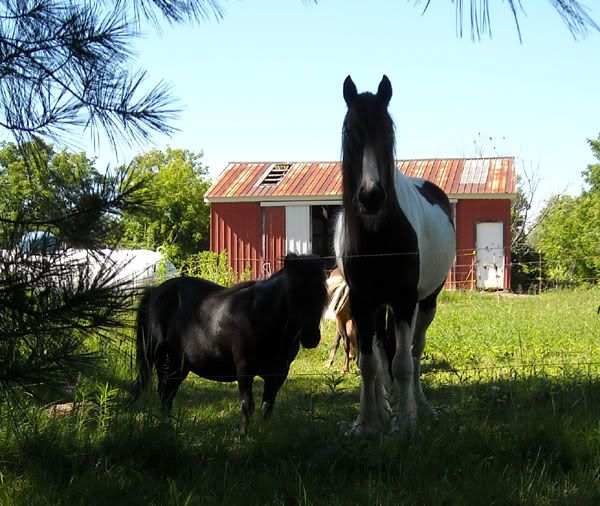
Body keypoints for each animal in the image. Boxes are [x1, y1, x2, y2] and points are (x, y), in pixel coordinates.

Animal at [129, 253, 328, 434]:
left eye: (322, 293)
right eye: (293, 293)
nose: (311, 337)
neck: (261, 315)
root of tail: (155, 292)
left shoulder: (278, 374)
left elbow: (267, 407)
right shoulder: (244, 370)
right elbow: (248, 405)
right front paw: (243, 437)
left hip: (177, 364)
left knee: (167, 394)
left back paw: (166, 426)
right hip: (155, 355)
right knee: (157, 390)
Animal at [334, 75, 456, 435]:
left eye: (388, 131)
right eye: (349, 132)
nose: (371, 196)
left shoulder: (404, 299)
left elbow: (403, 363)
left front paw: (407, 424)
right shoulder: (362, 302)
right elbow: (368, 363)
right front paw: (368, 424)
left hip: (426, 303)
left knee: (413, 353)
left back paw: (420, 409)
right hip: (378, 307)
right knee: (380, 353)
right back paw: (386, 408)